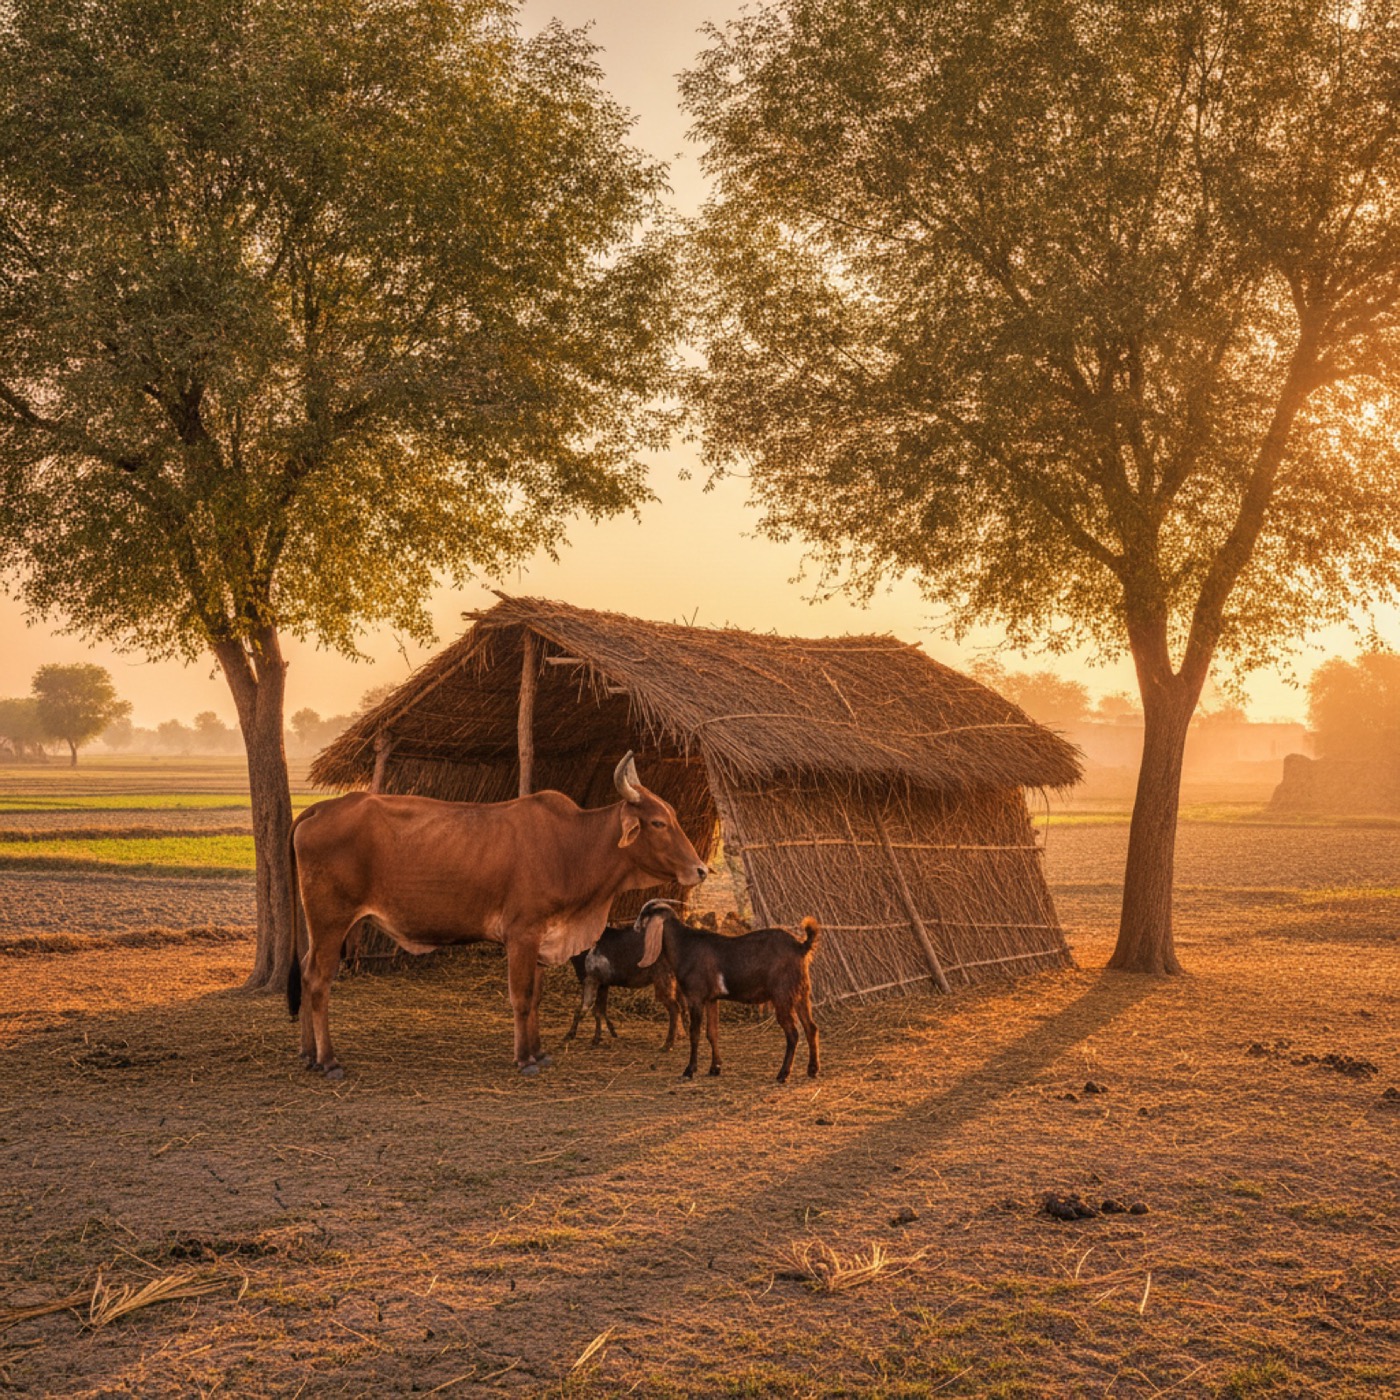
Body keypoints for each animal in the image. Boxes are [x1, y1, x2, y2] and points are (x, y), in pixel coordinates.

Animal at [287, 752, 708, 1078]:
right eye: (658, 822)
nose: (701, 870)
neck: (571, 847)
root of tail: (320, 808)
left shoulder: (542, 937)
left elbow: (536, 997)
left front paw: (539, 1051)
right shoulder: (522, 935)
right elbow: (521, 996)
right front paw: (524, 1059)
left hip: (320, 926)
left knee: (306, 973)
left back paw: (308, 1054)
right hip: (331, 922)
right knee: (319, 980)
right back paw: (328, 1060)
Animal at [635, 899, 820, 1082]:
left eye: (644, 915)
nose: (635, 927)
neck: (684, 946)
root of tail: (801, 946)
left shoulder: (696, 998)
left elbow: (695, 1033)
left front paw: (689, 1070)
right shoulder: (711, 999)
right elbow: (712, 1032)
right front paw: (715, 1068)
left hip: (782, 995)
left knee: (793, 1033)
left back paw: (783, 1074)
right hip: (801, 993)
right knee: (811, 1027)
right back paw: (812, 1070)